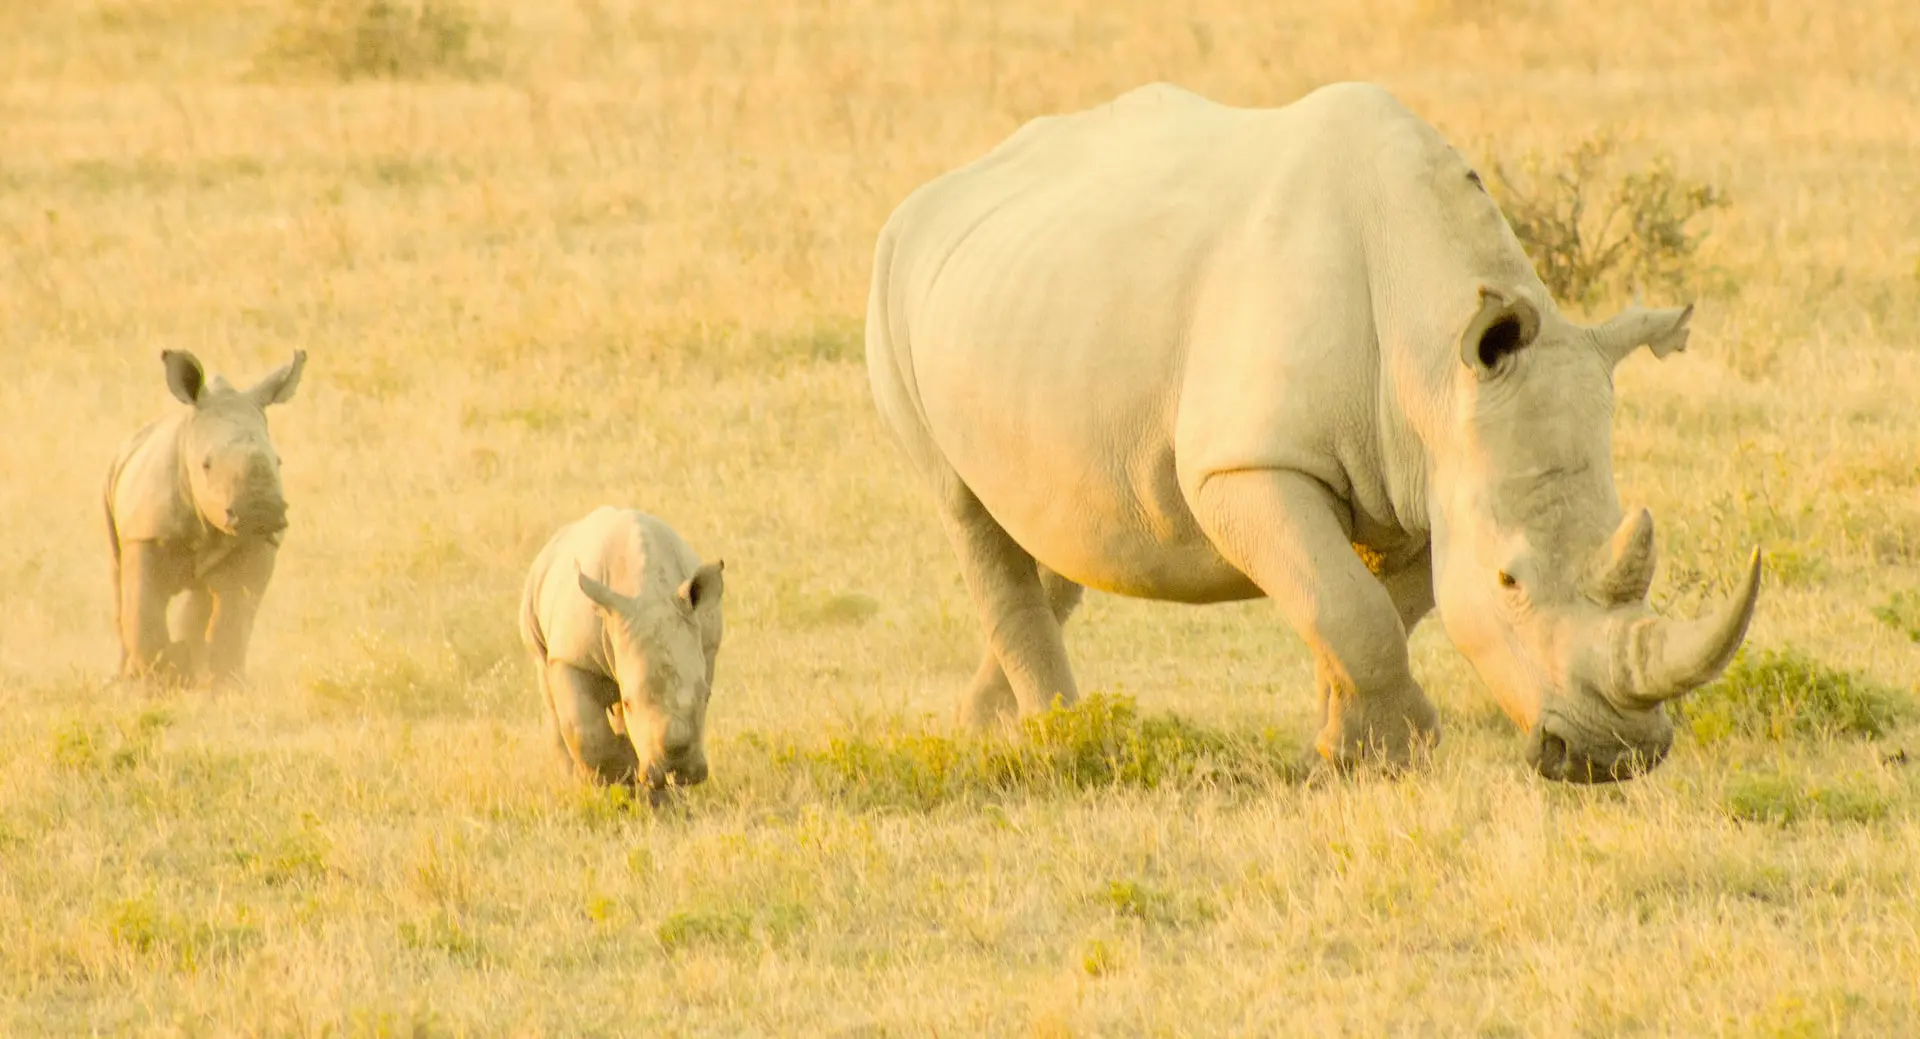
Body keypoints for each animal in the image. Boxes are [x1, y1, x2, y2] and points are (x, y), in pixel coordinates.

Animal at [104, 349, 305, 687]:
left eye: (278, 461)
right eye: (206, 465)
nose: (260, 511)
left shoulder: (256, 546)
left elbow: (233, 618)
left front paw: (222, 685)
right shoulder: (144, 533)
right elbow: (143, 612)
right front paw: (157, 682)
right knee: (119, 579)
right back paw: (125, 679)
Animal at [518, 507, 725, 795]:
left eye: (706, 696)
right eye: (629, 703)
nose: (678, 769)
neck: (645, 589)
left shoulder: (707, 648)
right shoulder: (571, 657)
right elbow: (585, 730)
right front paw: (618, 776)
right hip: (535, 602)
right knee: (549, 691)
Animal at [879, 79, 1758, 775]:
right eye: (1511, 582)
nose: (1613, 757)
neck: (1435, 356)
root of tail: (933, 191)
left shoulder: (1433, 478)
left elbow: (1367, 607)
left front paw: (1347, 752)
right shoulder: (1247, 464)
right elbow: (1351, 607)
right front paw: (1398, 750)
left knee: (1054, 528)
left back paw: (986, 729)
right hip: (892, 280)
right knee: (966, 511)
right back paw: (1063, 741)